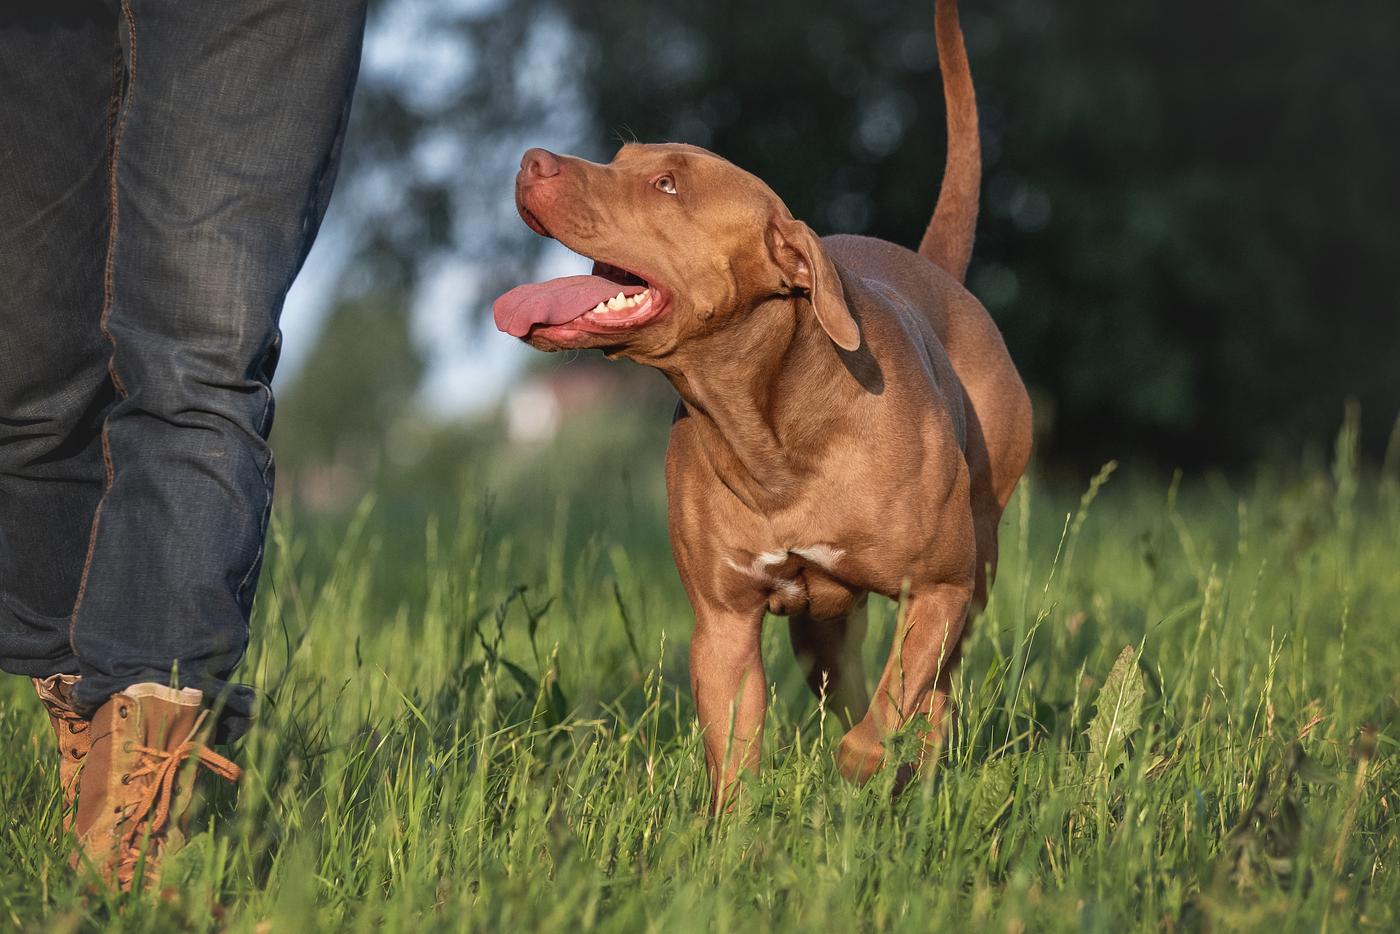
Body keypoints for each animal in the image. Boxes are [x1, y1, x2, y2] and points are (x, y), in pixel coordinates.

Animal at [492, 0, 1030, 812]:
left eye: (667, 184)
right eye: (619, 159)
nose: (530, 160)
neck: (765, 427)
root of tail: (934, 270)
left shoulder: (939, 590)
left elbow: (888, 711)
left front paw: (861, 771)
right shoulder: (723, 626)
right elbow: (736, 756)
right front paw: (736, 834)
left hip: (978, 561)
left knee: (933, 697)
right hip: (822, 630)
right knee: (855, 682)